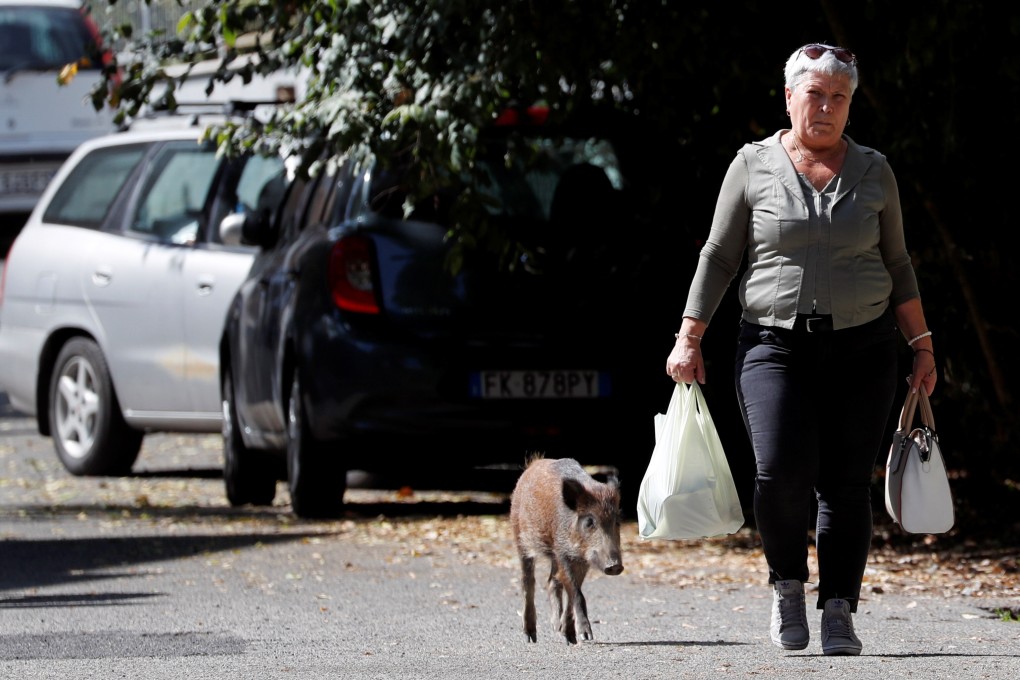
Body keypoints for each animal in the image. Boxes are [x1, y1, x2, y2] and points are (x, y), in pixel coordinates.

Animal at [509, 456, 624, 644]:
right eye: (589, 521)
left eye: (617, 522)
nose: (615, 566)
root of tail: (534, 463)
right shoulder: (562, 552)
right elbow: (576, 592)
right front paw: (586, 637)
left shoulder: (583, 560)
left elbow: (572, 591)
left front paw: (572, 638)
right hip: (521, 538)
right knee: (528, 582)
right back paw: (530, 637)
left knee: (551, 581)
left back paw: (557, 628)